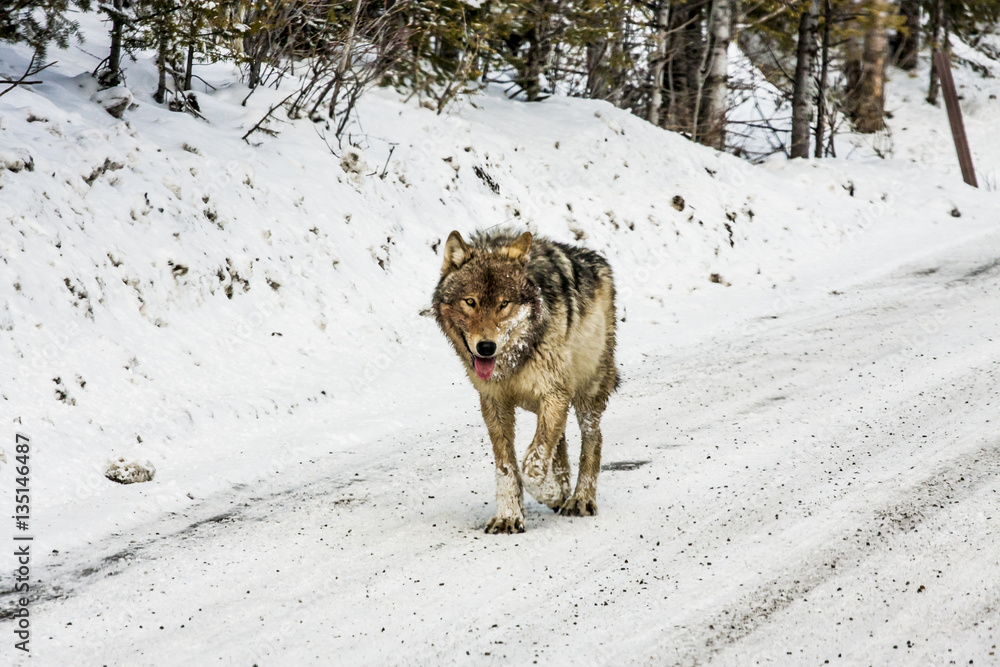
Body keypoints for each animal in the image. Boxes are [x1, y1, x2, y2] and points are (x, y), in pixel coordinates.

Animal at [432, 228, 618, 534]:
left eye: (503, 304)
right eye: (470, 302)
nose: (486, 347)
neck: (514, 361)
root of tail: (596, 259)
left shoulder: (554, 392)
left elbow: (532, 462)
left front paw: (549, 492)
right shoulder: (494, 402)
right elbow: (507, 466)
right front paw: (509, 516)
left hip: (586, 390)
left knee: (592, 437)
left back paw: (580, 499)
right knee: (560, 440)